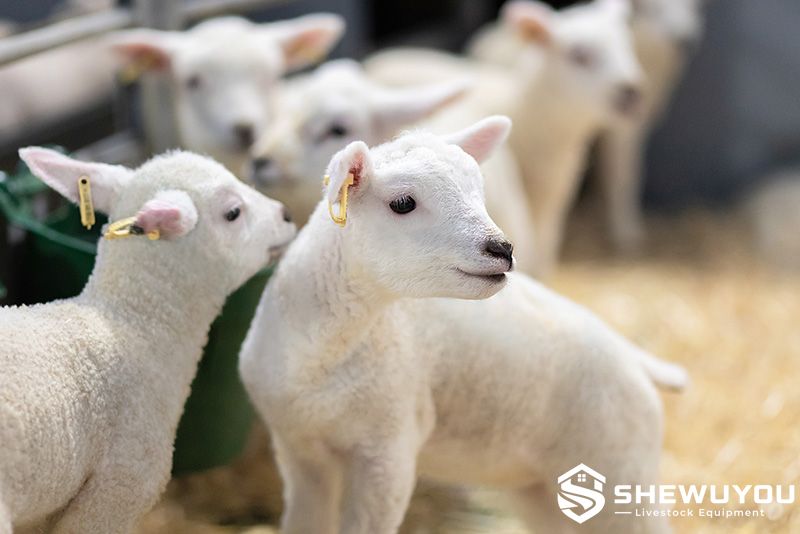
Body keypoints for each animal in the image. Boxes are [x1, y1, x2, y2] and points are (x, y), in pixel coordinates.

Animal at [239, 116, 687, 534]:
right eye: (403, 203)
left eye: (479, 191)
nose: (502, 249)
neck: (323, 353)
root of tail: (633, 357)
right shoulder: (300, 452)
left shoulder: (388, 452)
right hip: (542, 485)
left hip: (621, 466)